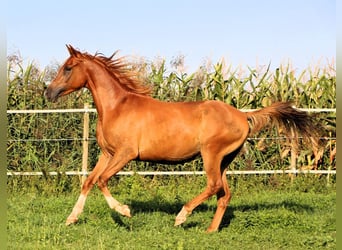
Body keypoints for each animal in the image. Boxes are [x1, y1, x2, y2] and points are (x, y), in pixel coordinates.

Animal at [44, 45, 318, 232]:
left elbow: (101, 181)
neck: (117, 107)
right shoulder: (107, 153)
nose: (48, 92)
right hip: (224, 160)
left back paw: (181, 217)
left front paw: (125, 212)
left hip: (211, 154)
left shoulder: (125, 153)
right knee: (224, 193)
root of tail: (242, 115)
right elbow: (88, 181)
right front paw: (71, 219)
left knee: (214, 186)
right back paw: (210, 230)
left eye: (68, 68)